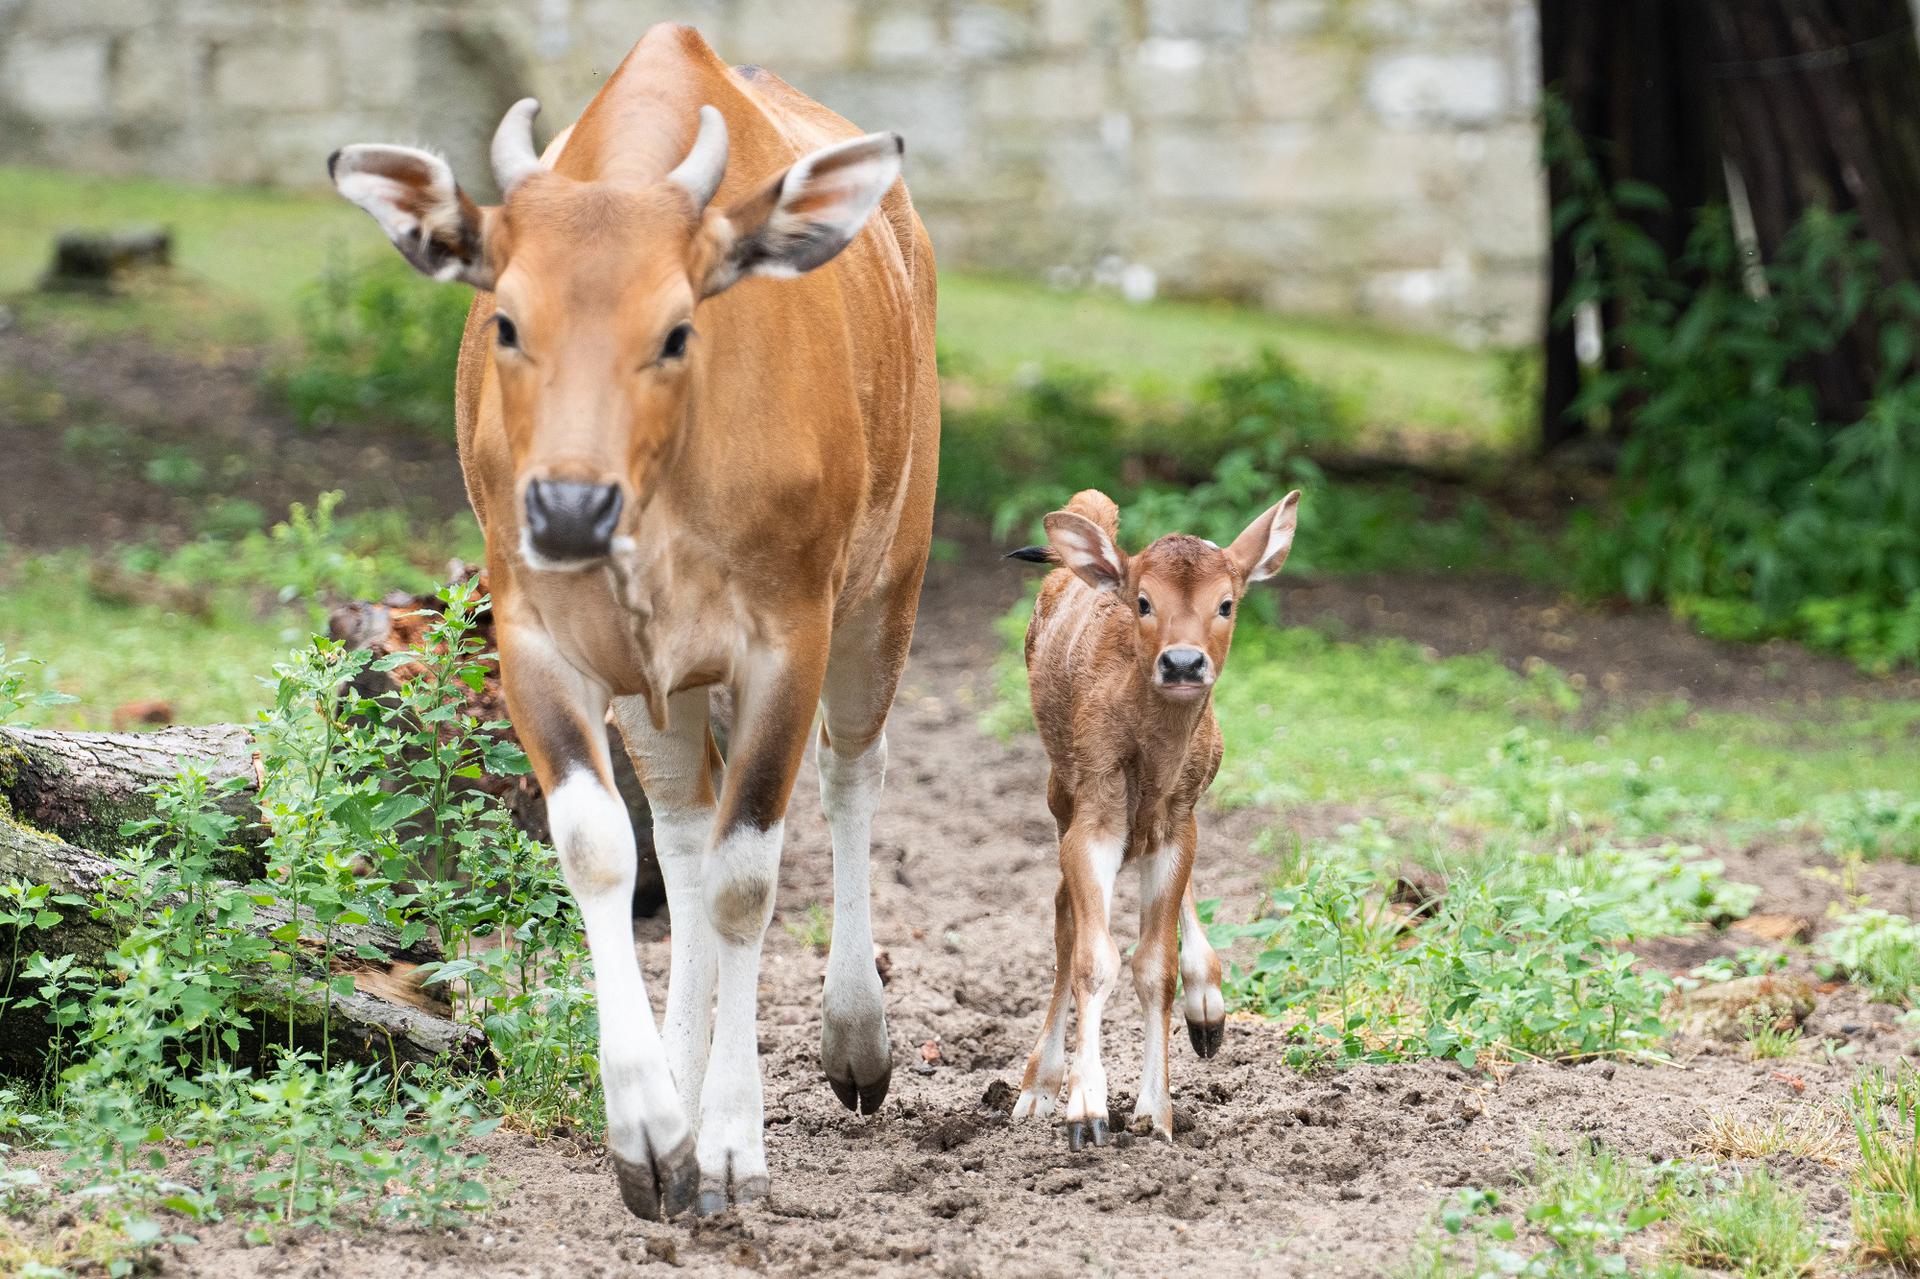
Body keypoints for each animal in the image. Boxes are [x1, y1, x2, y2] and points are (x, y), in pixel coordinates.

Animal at [328, 24, 936, 1213]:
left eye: (677, 328)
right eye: (507, 319)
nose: (570, 505)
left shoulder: (787, 636)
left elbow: (753, 875)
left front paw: (736, 1141)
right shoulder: (536, 639)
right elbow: (603, 848)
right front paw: (655, 1130)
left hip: (889, 583)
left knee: (851, 772)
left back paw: (853, 1036)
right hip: (662, 684)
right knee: (686, 827)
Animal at [1006, 487, 1305, 1144]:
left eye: (1226, 603)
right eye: (1143, 601)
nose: (1184, 663)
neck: (1150, 757)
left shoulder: (1178, 819)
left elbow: (1155, 966)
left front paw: (1156, 1111)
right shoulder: (1093, 816)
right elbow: (1094, 956)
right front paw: (1086, 1108)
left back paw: (1206, 1006)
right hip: (1058, 789)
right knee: (1064, 916)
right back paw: (1038, 1085)